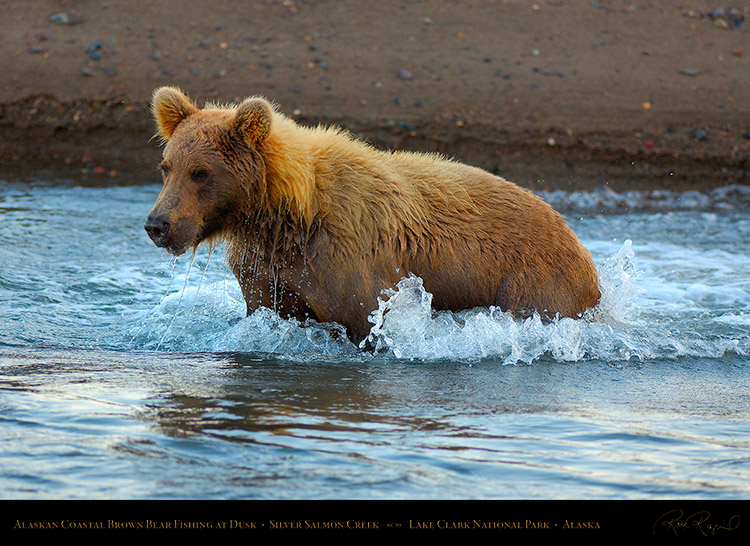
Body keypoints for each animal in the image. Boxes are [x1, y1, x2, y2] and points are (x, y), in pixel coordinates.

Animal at [144, 86, 604, 342]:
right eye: (167, 166)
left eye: (201, 172)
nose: (157, 225)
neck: (286, 218)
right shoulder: (268, 268)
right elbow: (270, 312)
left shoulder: (347, 260)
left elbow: (364, 322)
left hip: (534, 281)